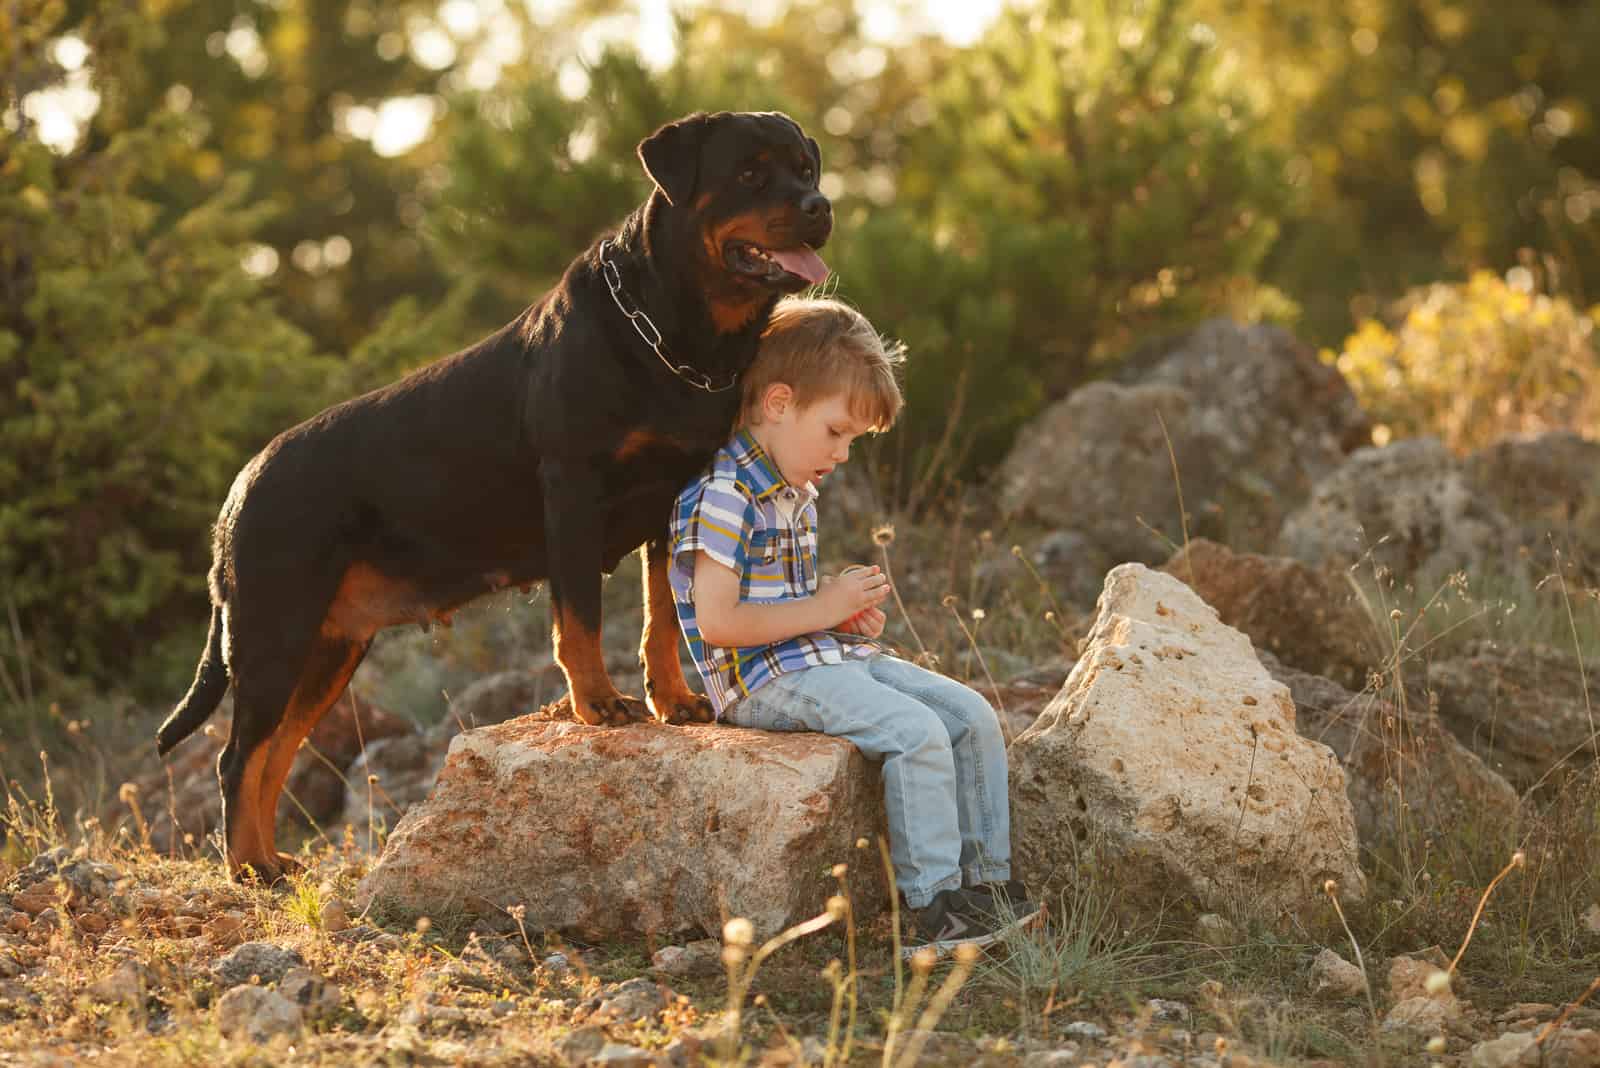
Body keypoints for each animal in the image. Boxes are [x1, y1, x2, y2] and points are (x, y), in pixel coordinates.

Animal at [159, 108, 838, 882]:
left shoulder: (679, 498)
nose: (819, 207)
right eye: (751, 173)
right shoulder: (572, 490)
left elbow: (663, 617)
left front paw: (671, 700)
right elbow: (580, 618)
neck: (675, 337)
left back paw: (271, 864)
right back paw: (251, 868)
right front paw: (599, 704)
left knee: (273, 753)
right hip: (276, 631)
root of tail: (238, 494)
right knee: (237, 756)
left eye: (805, 169)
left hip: (329, 648)